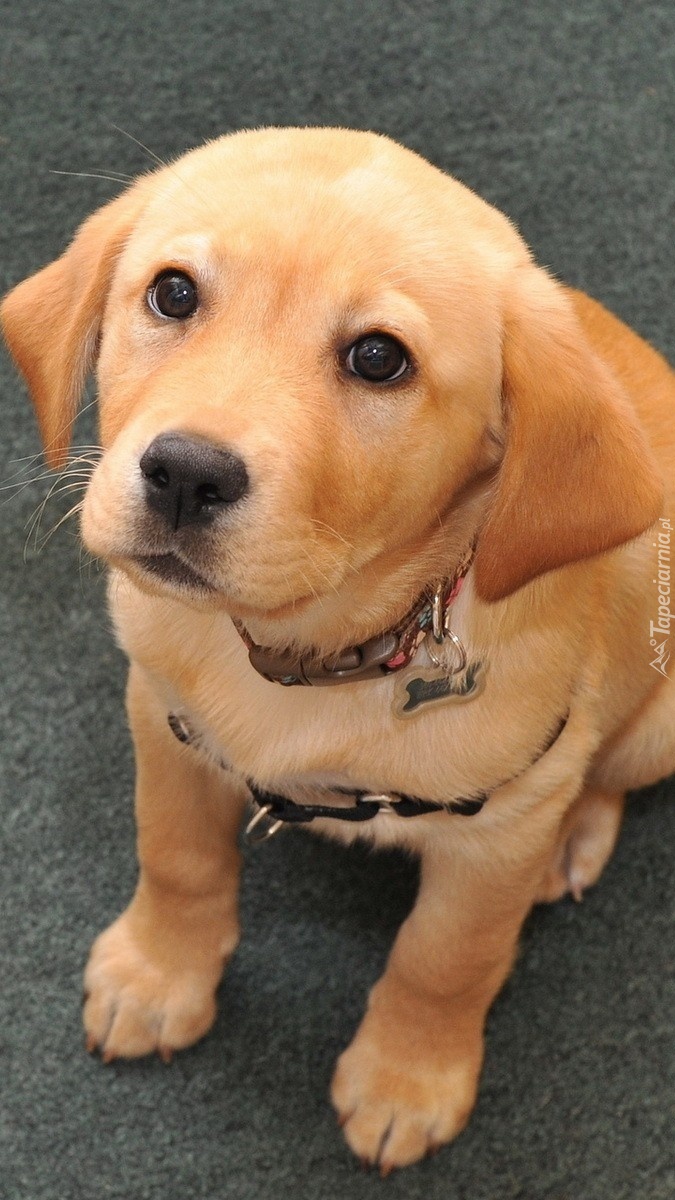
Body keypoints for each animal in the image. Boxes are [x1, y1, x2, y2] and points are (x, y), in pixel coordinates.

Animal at [1, 129, 672, 1171]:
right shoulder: (163, 718)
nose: (184, 473)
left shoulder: (495, 832)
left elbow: (446, 958)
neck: (318, 653)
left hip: (649, 724)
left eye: (377, 358)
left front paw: (407, 1077)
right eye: (173, 294)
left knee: (604, 774)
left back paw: (572, 842)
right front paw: (158, 974)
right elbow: (176, 855)